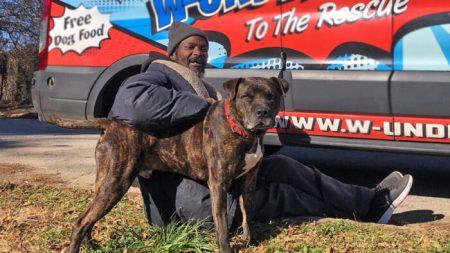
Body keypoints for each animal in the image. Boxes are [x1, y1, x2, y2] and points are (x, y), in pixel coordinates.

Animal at [49, 76, 288, 252]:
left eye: (271, 96)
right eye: (247, 97)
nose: (262, 112)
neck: (242, 131)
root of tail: (112, 122)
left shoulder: (248, 181)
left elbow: (249, 212)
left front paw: (251, 241)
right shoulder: (219, 184)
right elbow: (221, 224)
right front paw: (226, 248)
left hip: (104, 181)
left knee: (89, 217)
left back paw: (91, 245)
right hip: (117, 182)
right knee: (81, 222)